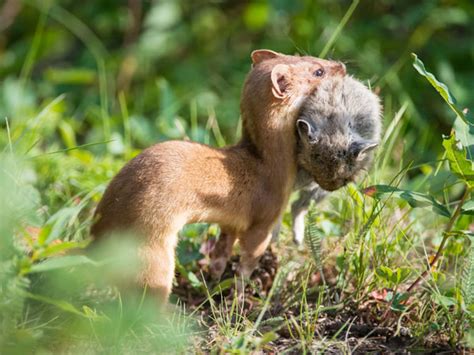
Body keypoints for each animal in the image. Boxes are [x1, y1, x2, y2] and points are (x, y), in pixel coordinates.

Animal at [91, 48, 344, 302]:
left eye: (302, 55)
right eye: (318, 71)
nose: (341, 66)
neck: (269, 166)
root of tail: (98, 235)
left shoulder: (230, 220)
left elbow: (223, 248)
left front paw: (213, 280)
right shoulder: (265, 216)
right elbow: (250, 255)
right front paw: (240, 293)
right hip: (152, 256)